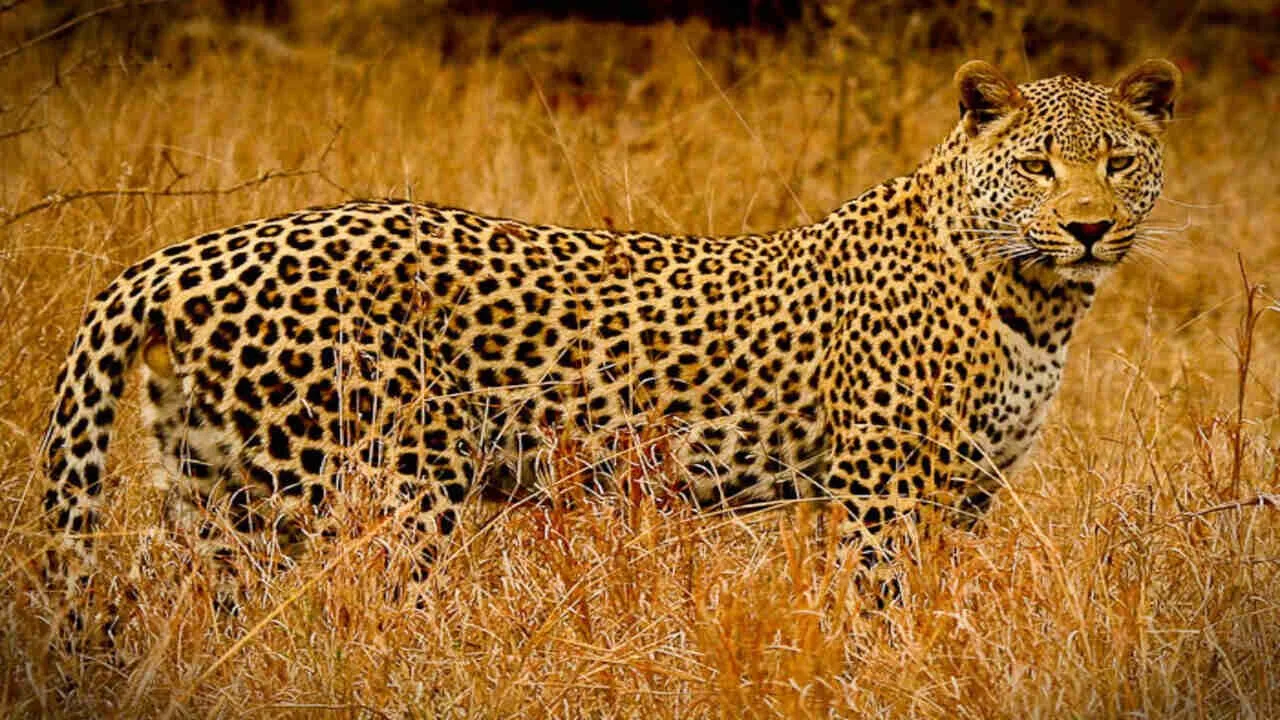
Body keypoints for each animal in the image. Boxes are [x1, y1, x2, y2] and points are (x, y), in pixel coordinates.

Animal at [37, 59, 1180, 640]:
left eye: (1118, 162)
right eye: (1038, 167)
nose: (1087, 226)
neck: (1037, 299)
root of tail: (180, 256)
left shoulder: (971, 488)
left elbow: (941, 592)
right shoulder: (882, 482)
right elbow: (882, 599)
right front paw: (890, 667)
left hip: (216, 478)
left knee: (175, 594)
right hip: (363, 480)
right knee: (356, 606)